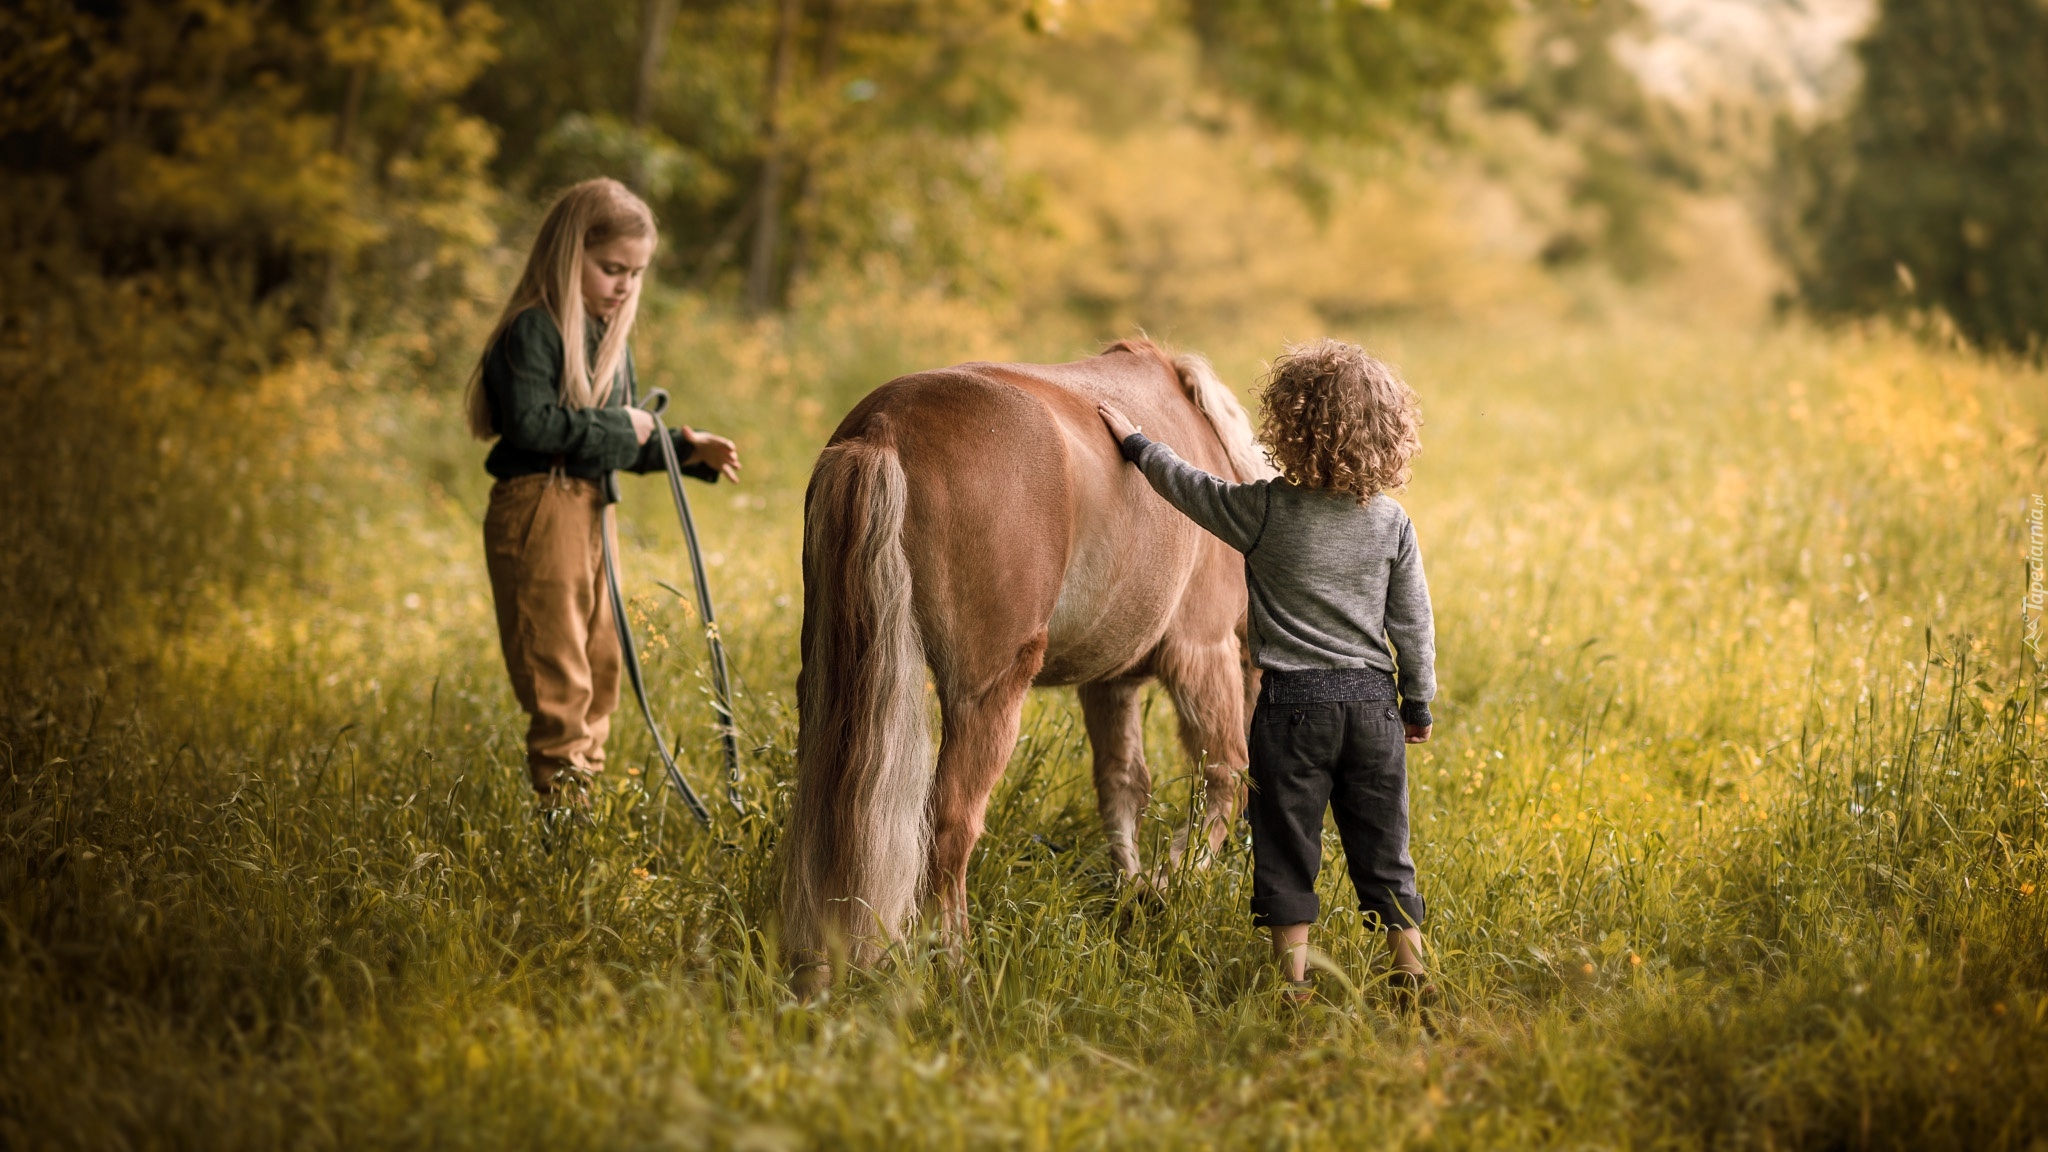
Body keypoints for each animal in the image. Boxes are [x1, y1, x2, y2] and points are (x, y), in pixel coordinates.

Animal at [778, 336, 1269, 971]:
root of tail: (885, 426)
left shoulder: (1109, 683)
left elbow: (1122, 784)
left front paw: (1132, 886)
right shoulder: (1201, 653)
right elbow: (1225, 774)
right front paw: (1166, 883)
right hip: (986, 698)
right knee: (952, 823)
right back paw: (955, 960)